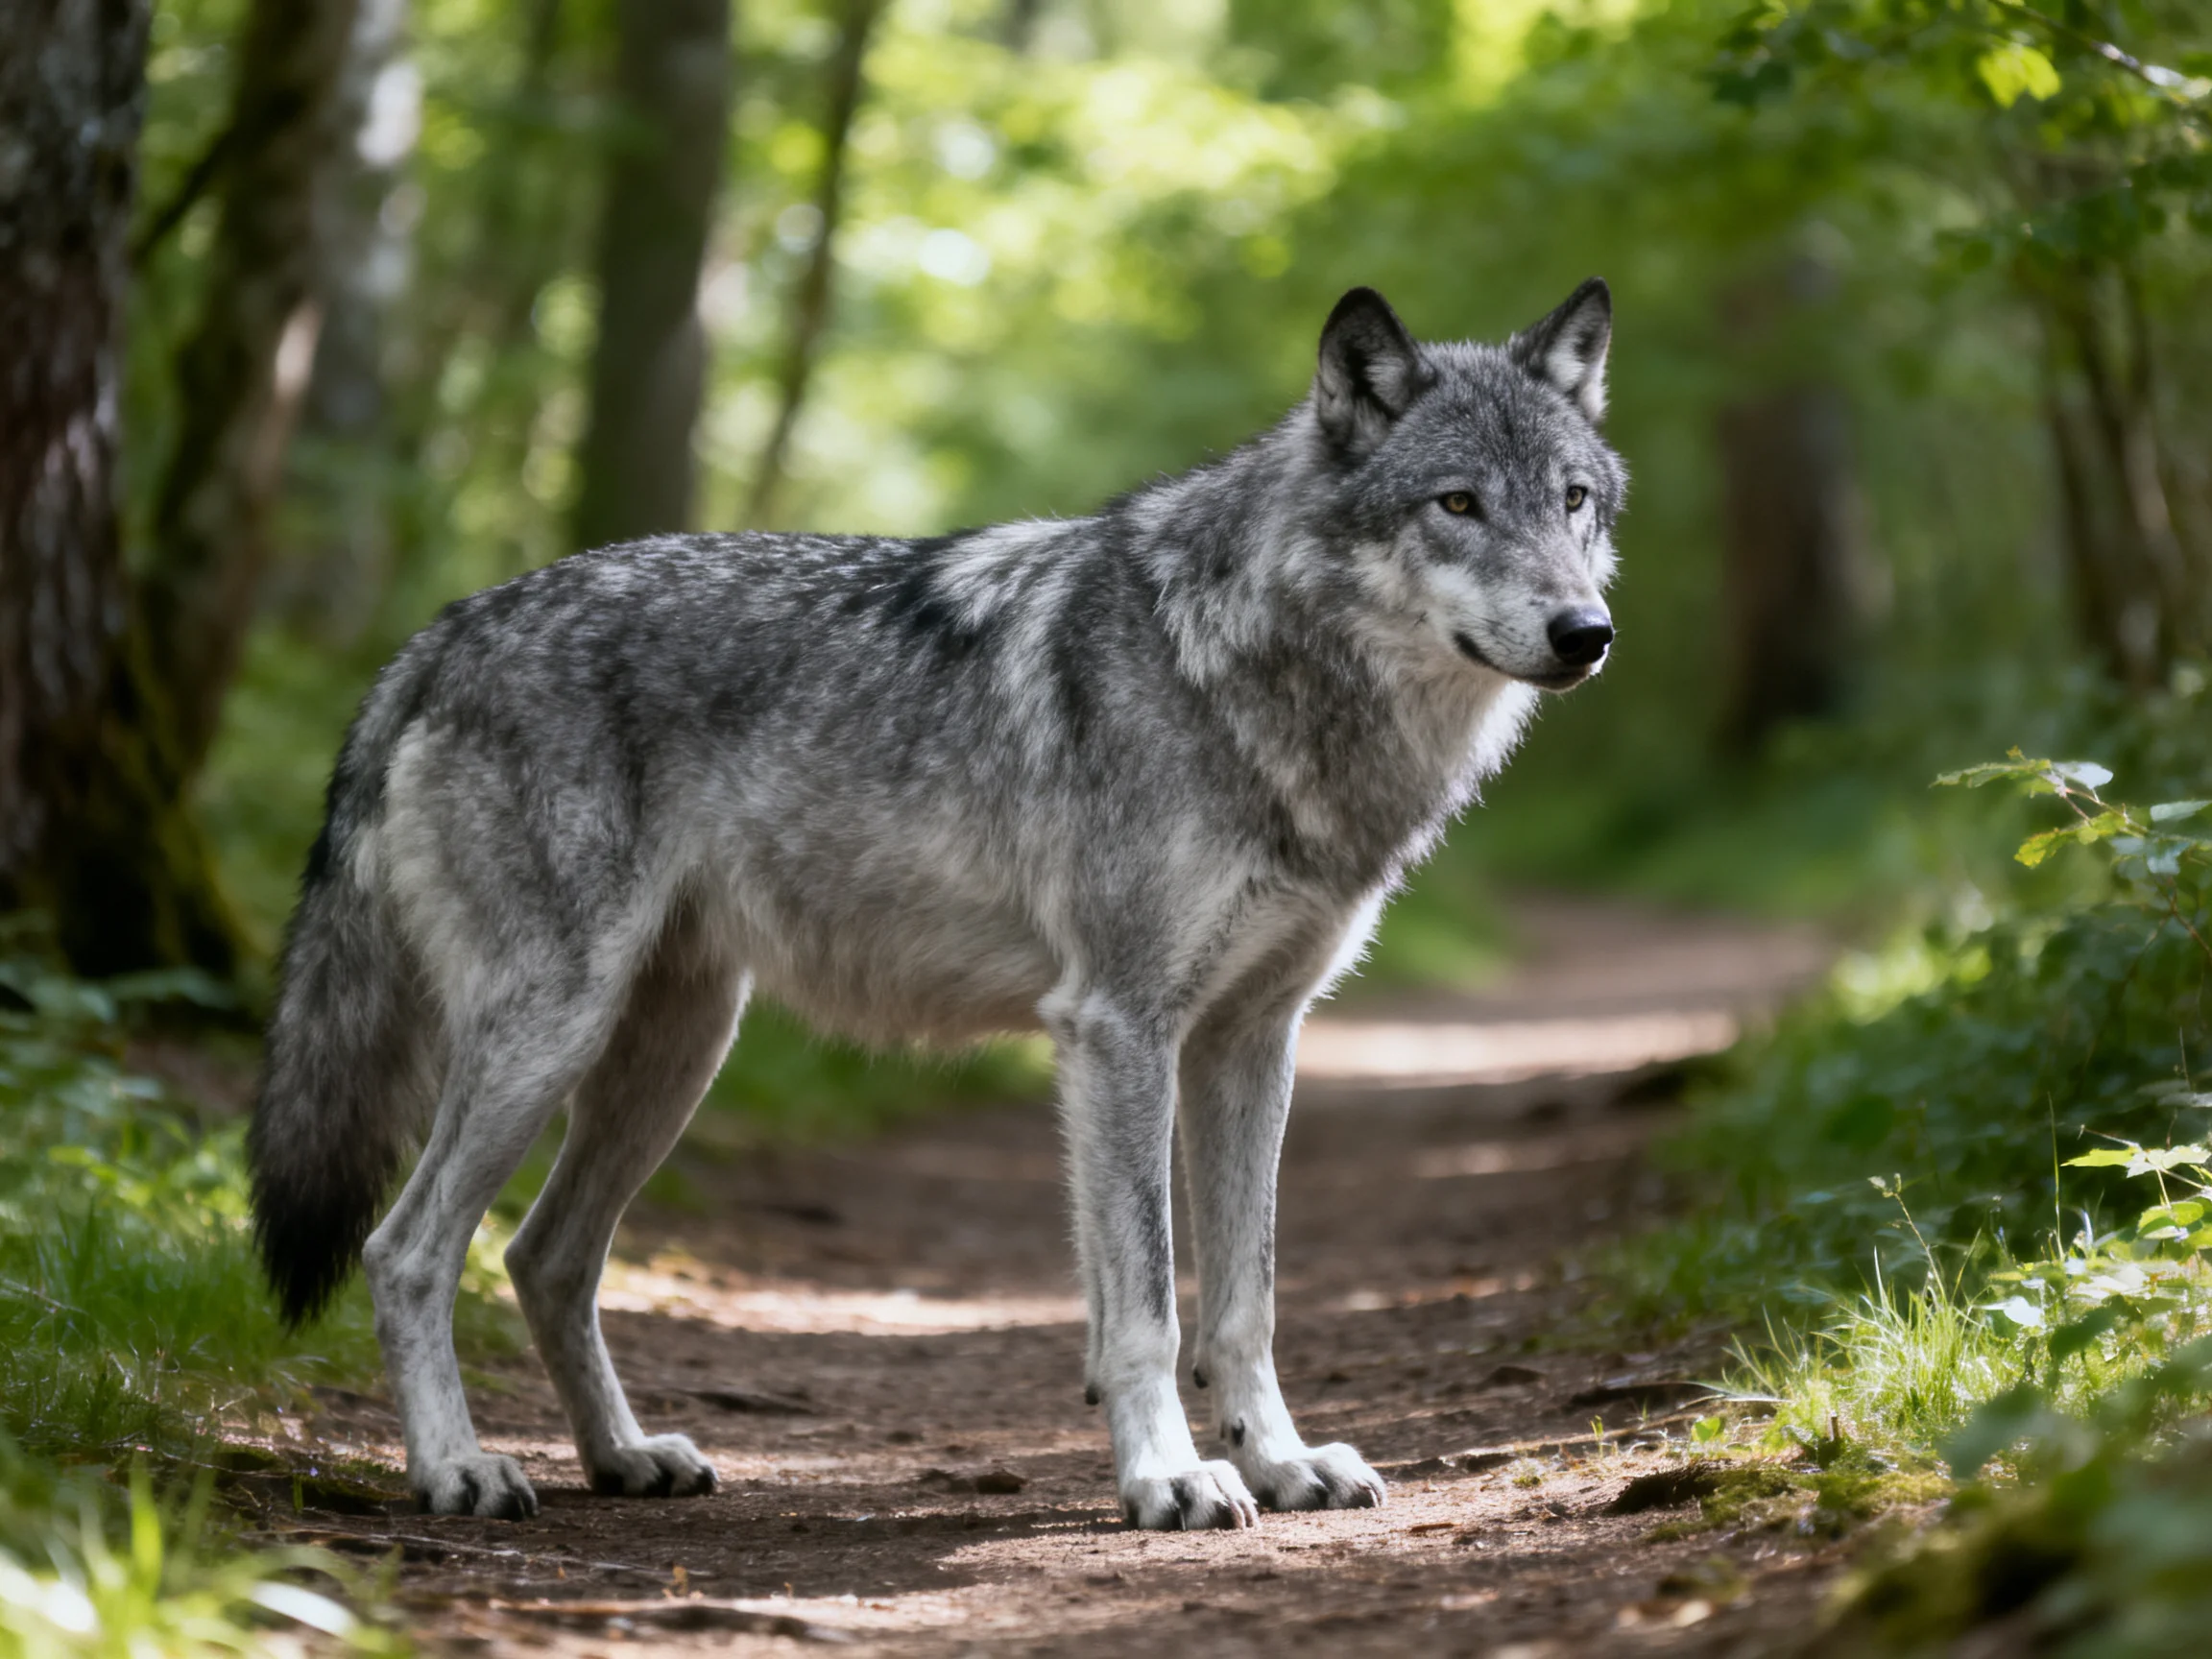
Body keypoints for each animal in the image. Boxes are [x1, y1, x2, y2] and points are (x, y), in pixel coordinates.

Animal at [249, 280, 1624, 1529]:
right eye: (1457, 503)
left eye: (1572, 501)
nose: (1587, 632)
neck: (1251, 672)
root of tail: (444, 630)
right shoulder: (1119, 1029)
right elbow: (1147, 1303)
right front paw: (1172, 1478)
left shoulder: (1252, 1039)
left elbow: (1247, 1301)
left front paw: (1283, 1465)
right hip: (553, 1033)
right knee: (408, 1250)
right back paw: (455, 1471)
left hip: (672, 1051)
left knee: (544, 1257)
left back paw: (625, 1458)